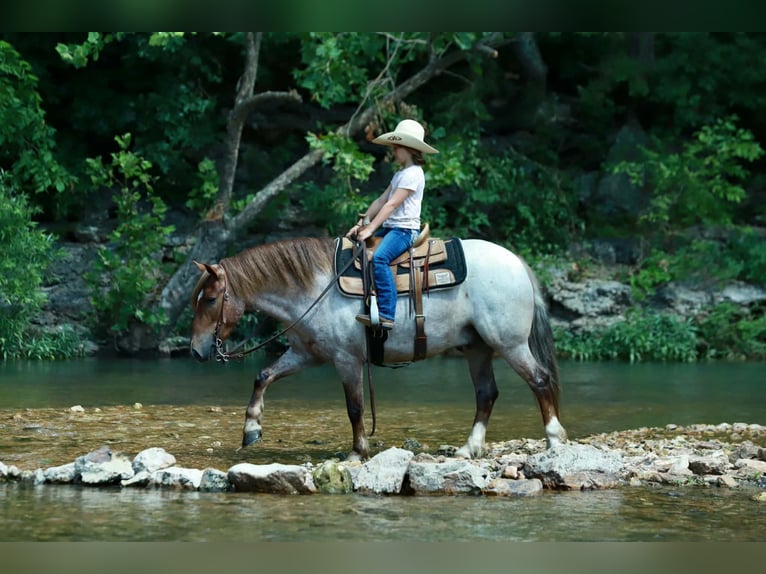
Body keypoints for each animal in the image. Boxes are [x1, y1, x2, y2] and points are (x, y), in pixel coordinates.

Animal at [189, 236, 568, 461]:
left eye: (210, 299)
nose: (195, 350)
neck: (314, 289)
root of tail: (517, 263)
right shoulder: (306, 354)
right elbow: (263, 375)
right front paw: (251, 429)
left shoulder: (346, 360)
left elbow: (355, 408)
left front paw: (357, 452)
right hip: (478, 349)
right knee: (487, 393)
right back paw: (468, 448)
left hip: (510, 344)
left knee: (539, 380)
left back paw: (554, 440)